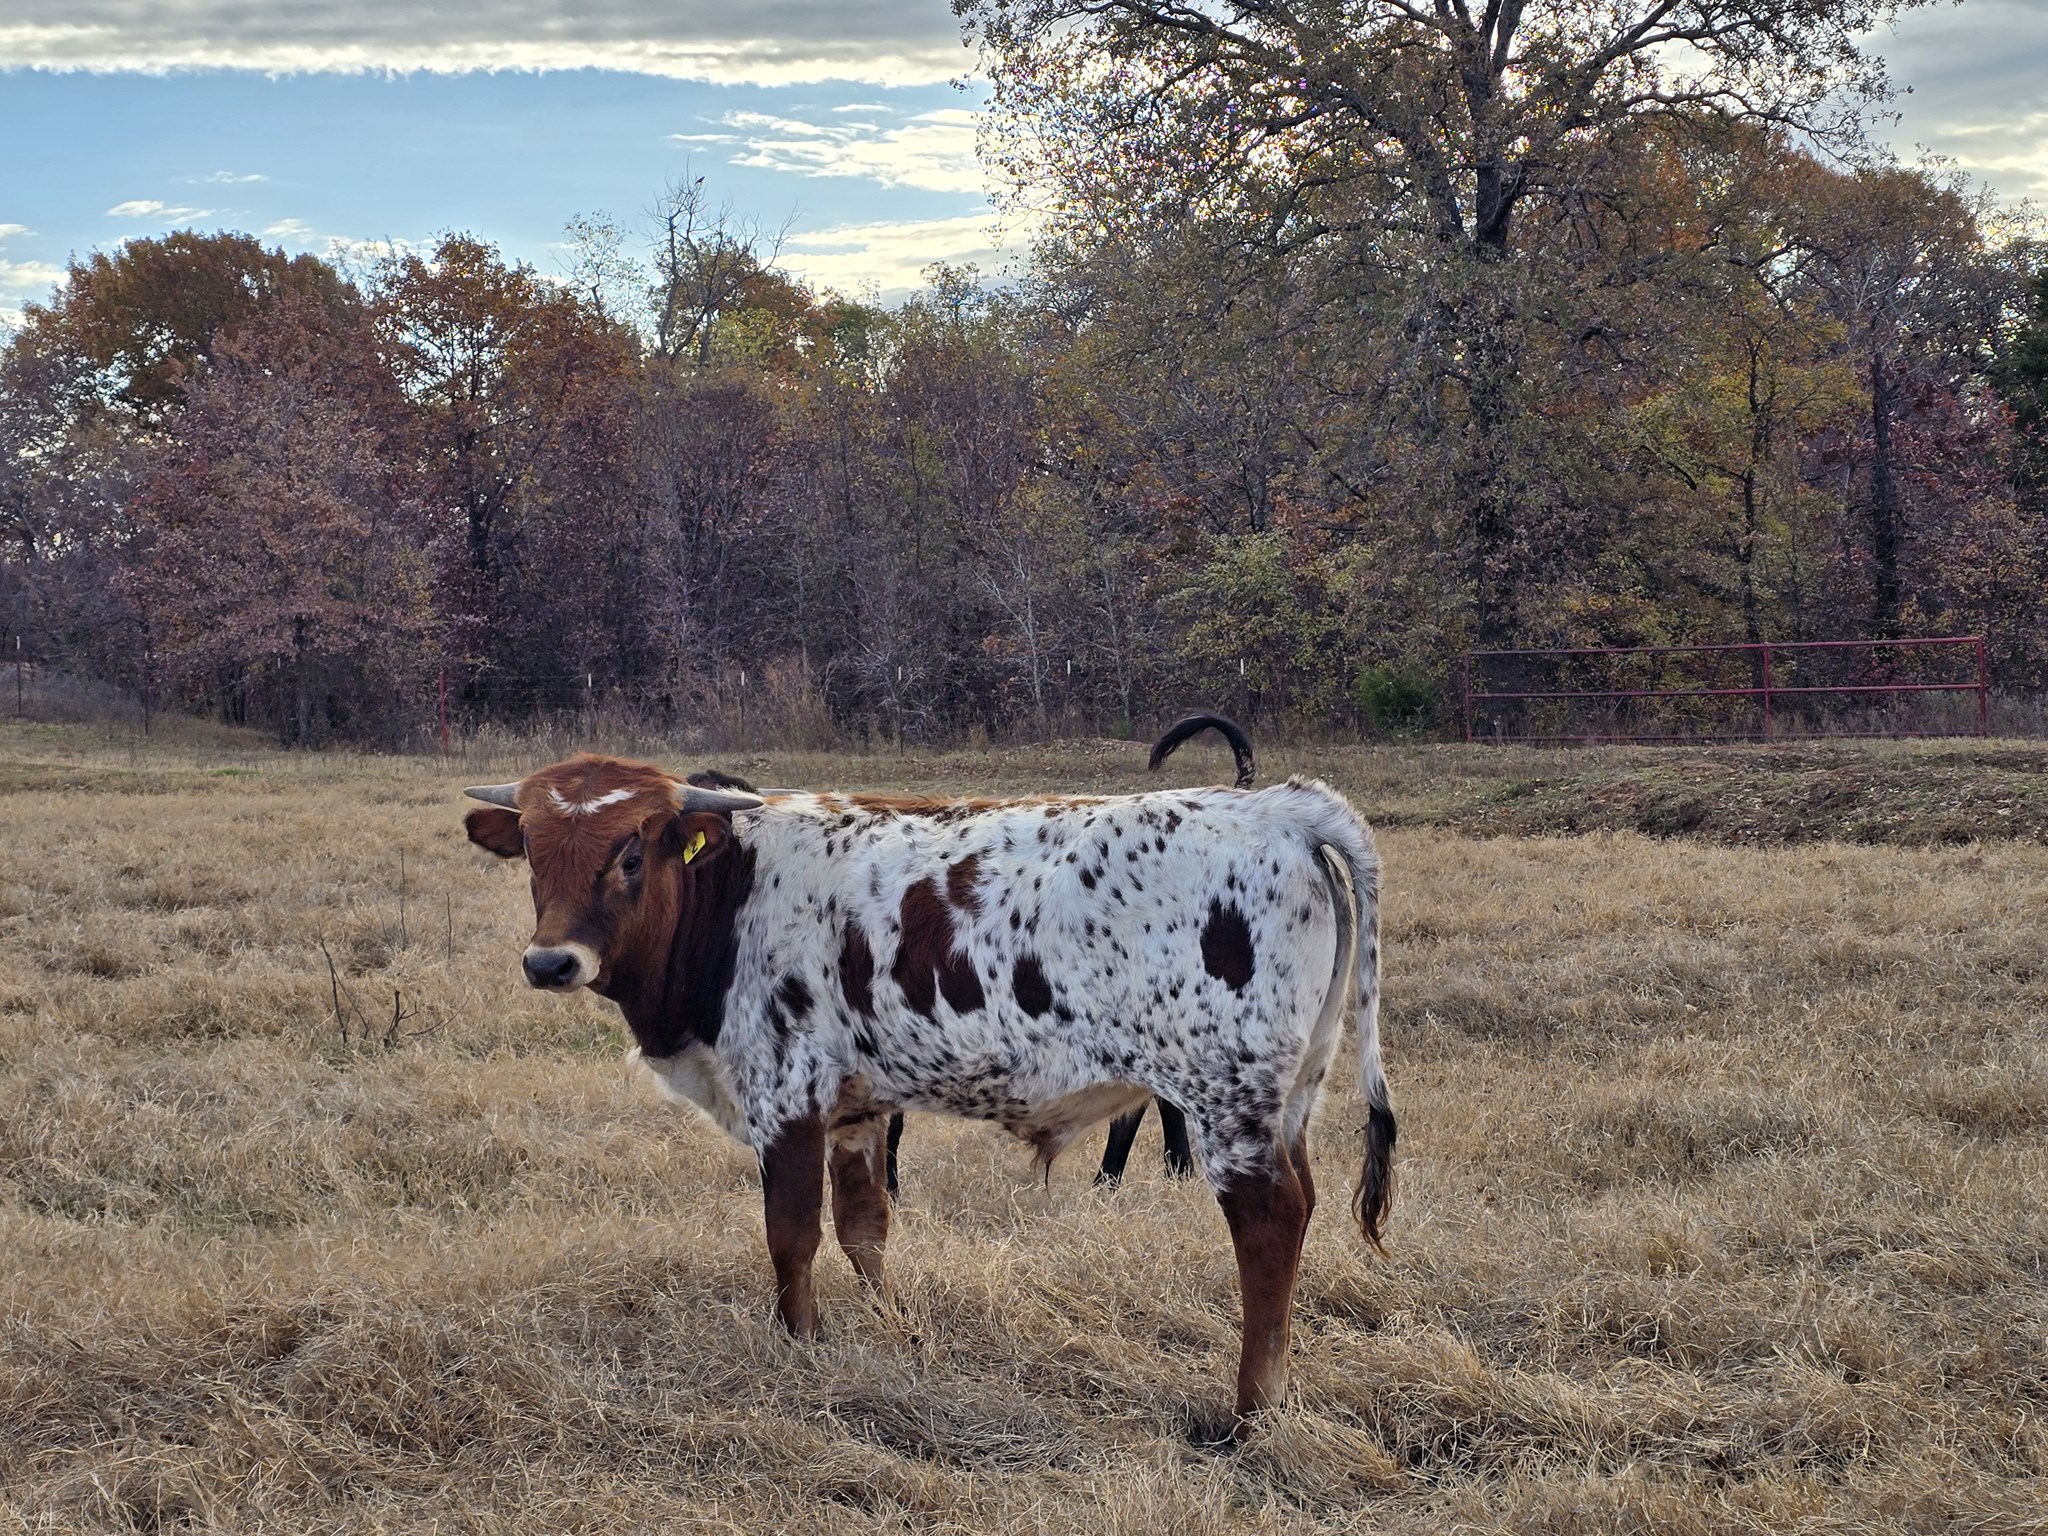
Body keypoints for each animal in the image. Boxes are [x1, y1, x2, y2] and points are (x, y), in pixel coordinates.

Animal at [462, 754, 1394, 1432]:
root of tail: (1277, 807)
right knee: (1303, 1202)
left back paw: (1251, 1410)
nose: (551, 962)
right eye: (535, 853)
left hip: (1227, 1099)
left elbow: (791, 1237)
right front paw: (893, 1331)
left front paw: (801, 1346)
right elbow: (864, 1230)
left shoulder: (784, 1099)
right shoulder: (858, 1111)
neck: (729, 896)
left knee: (1268, 1222)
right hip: (1294, 1093)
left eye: (629, 854)